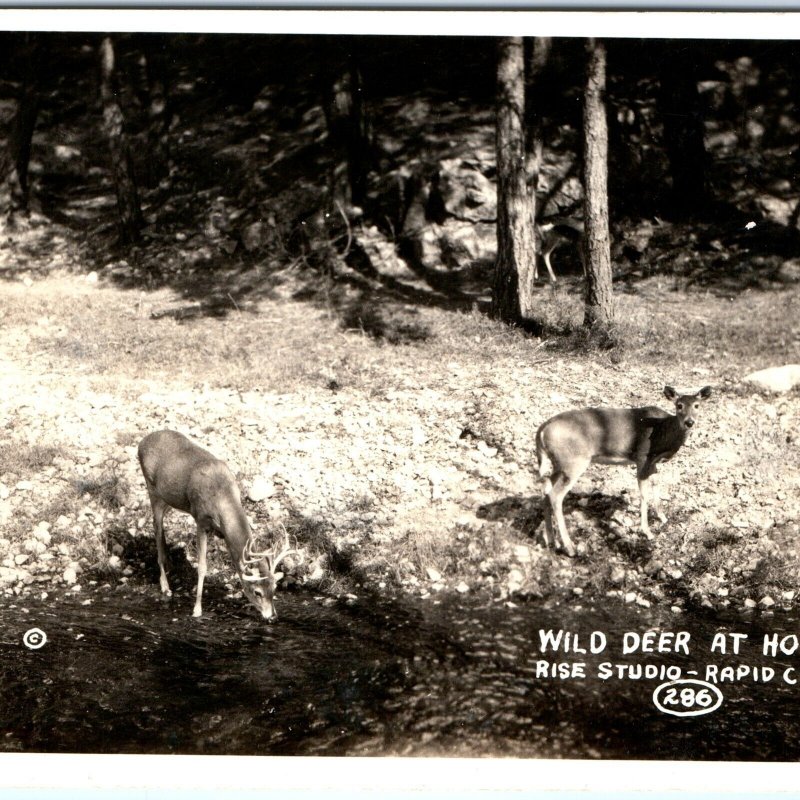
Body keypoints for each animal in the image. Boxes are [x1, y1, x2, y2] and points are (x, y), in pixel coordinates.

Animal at [136, 432, 302, 620]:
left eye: (274, 587)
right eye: (257, 591)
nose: (272, 615)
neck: (222, 494)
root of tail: (142, 442)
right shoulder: (200, 520)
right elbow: (202, 567)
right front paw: (197, 609)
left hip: (169, 500)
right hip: (152, 491)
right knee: (156, 528)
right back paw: (165, 587)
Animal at [536, 388, 712, 556]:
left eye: (697, 405)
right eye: (679, 405)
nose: (689, 422)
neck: (663, 433)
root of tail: (541, 431)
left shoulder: (653, 463)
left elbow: (657, 486)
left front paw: (662, 517)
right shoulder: (642, 457)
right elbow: (644, 494)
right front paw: (647, 532)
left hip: (559, 464)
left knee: (546, 488)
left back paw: (551, 540)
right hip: (574, 462)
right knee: (555, 496)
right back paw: (570, 547)